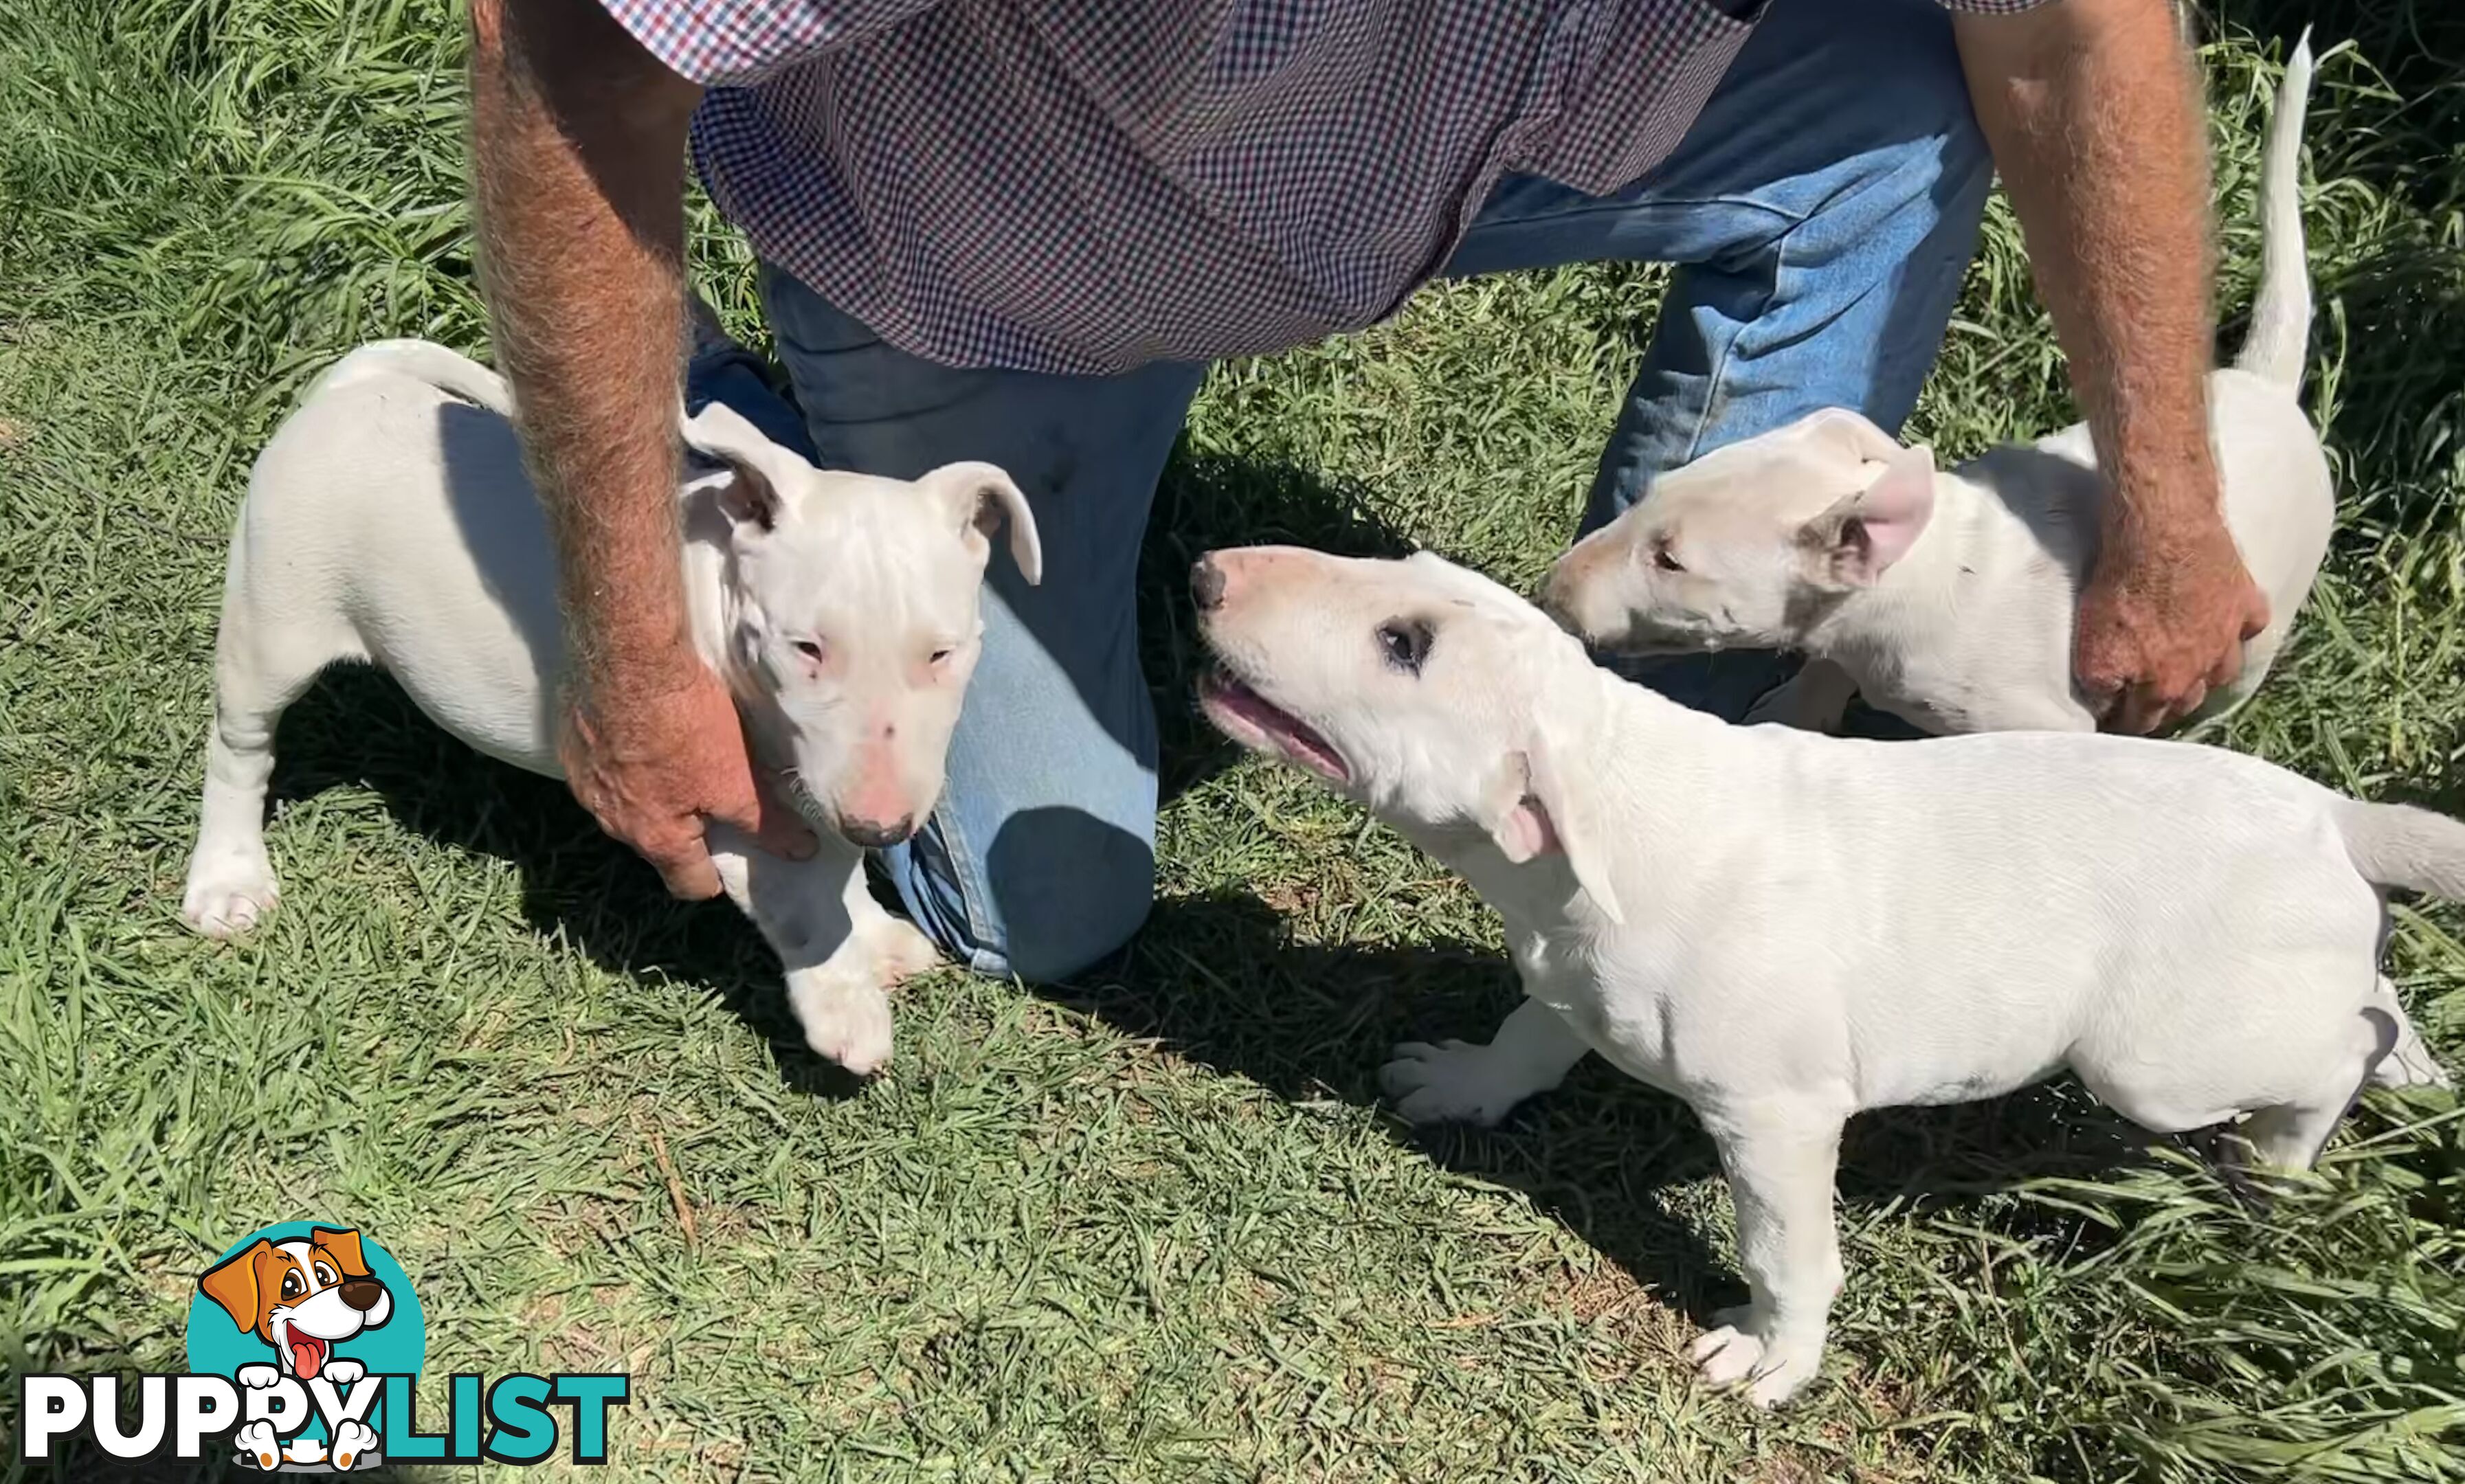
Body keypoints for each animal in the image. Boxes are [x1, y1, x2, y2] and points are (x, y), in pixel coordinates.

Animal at [182, 340, 1040, 1070]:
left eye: (942, 654)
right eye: (805, 648)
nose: (884, 825)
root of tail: (350, 387)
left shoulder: (812, 775)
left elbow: (835, 866)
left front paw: (876, 937)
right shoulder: (709, 796)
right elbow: (803, 901)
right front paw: (845, 1008)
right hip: (273, 624)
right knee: (238, 752)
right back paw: (227, 880)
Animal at [1187, 539, 2445, 1400]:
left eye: (1403, 646)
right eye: (1393, 575)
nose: (1204, 574)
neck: (1609, 810)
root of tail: (2333, 818)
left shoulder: (1776, 1112)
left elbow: (1785, 1250)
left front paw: (1768, 1358)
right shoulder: (1569, 968)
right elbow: (1530, 1034)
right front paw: (1460, 1085)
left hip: (2153, 1061)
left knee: (2334, 1050)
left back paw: (2290, 1160)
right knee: (2366, 998)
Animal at [1538, 43, 2327, 734]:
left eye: (1670, 560)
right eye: (1648, 496)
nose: (1551, 588)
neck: (1927, 567)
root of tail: (2265, 386)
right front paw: (1792, 713)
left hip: (2249, 645)